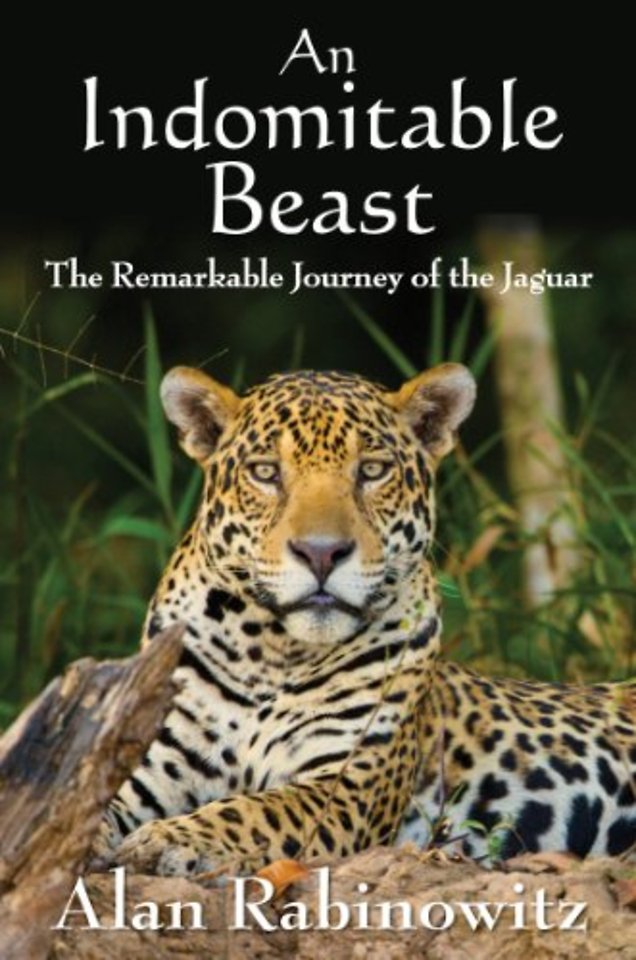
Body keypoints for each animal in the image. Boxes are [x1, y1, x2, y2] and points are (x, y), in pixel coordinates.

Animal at [97, 362, 636, 876]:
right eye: (266, 472)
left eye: (372, 471)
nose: (321, 553)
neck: (269, 651)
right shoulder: (148, 761)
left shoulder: (346, 785)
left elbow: (251, 811)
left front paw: (165, 839)